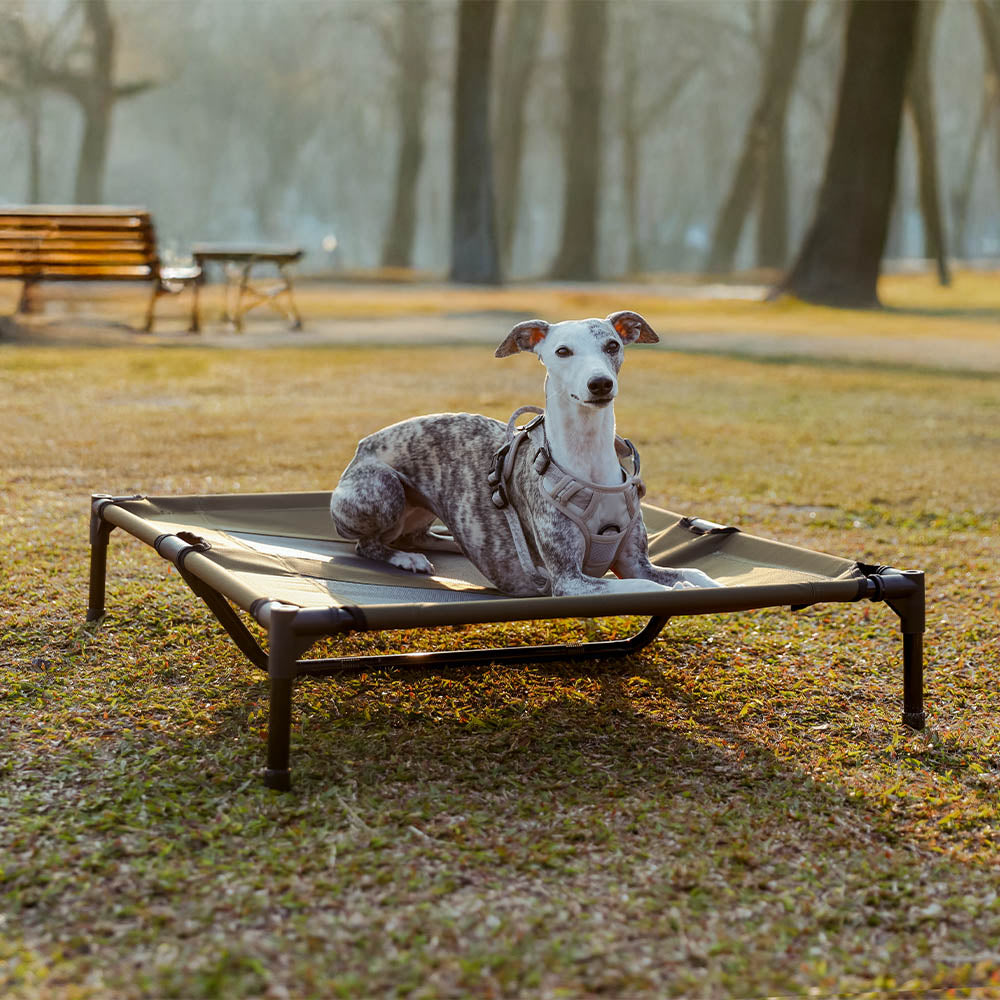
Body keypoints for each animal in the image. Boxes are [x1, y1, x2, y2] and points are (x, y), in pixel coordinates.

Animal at [332, 310, 724, 592]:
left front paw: (705, 584)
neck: (588, 460)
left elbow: (692, 573)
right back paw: (404, 559)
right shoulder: (569, 581)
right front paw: (680, 590)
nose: (600, 384)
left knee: (420, 535)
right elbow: (645, 588)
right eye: (562, 351)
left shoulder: (635, 562)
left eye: (612, 345)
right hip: (383, 488)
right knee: (367, 544)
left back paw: (452, 544)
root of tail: (363, 445)